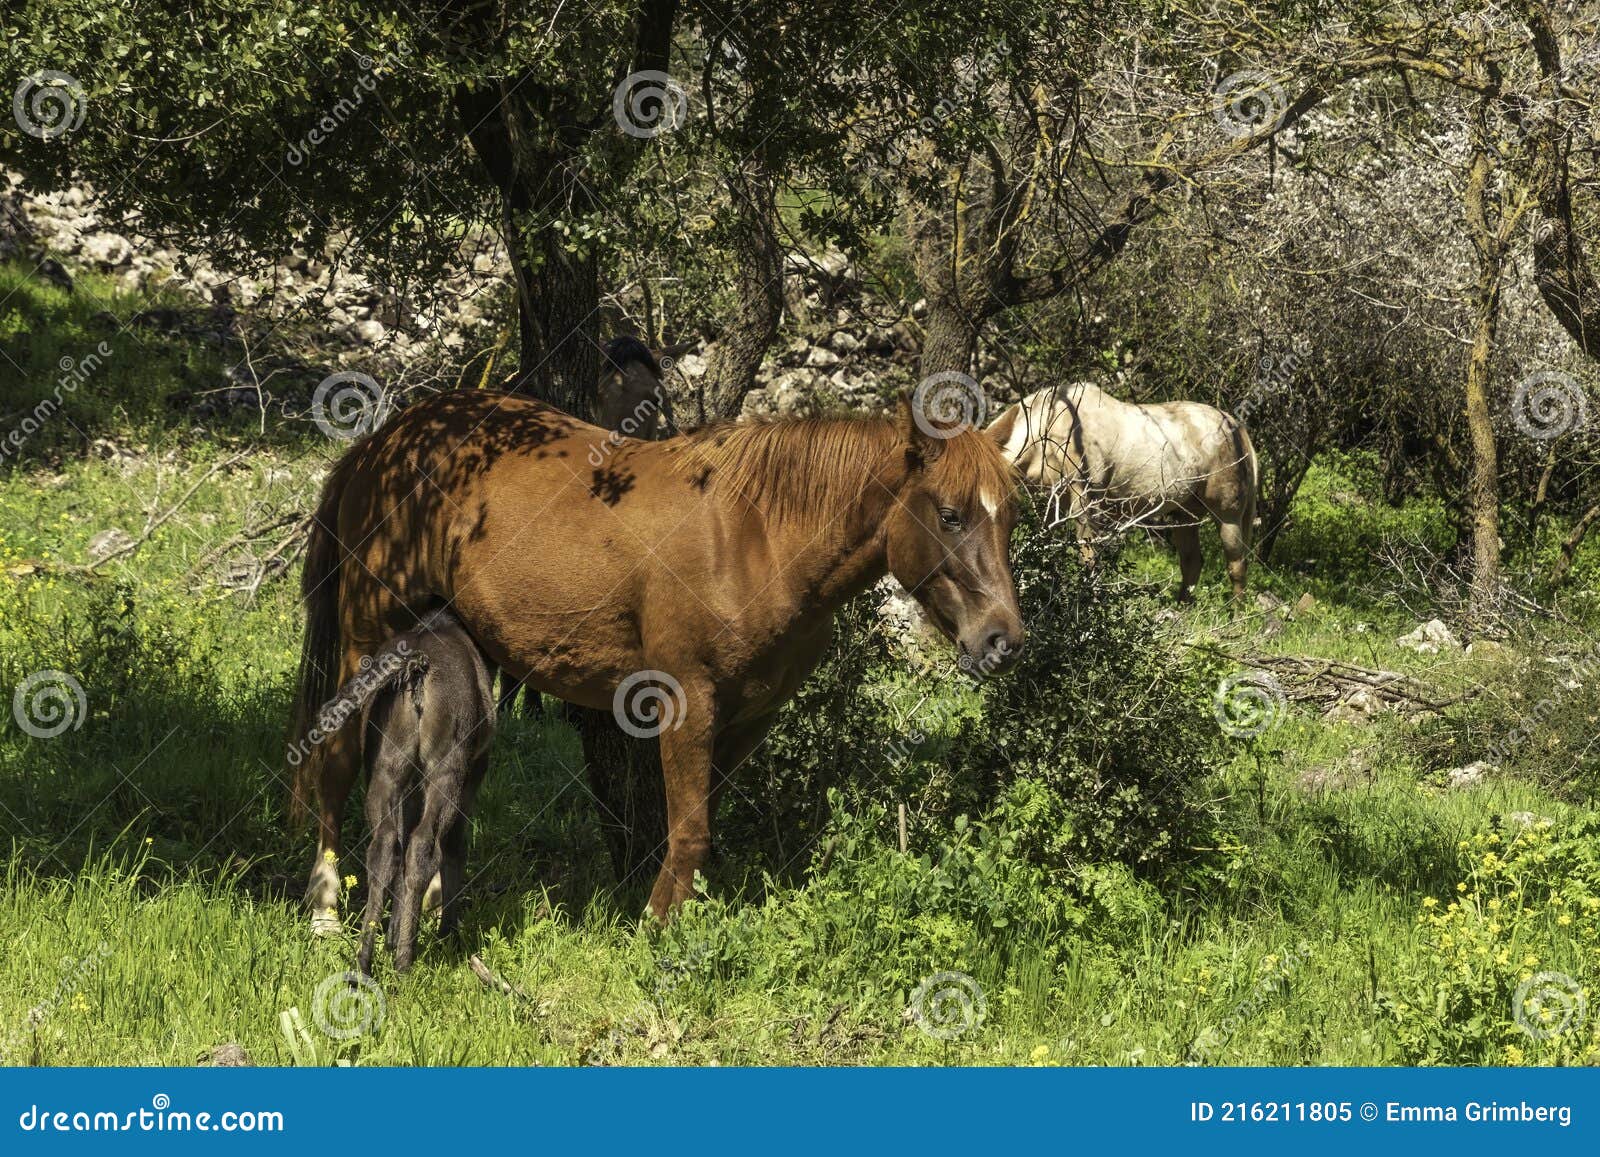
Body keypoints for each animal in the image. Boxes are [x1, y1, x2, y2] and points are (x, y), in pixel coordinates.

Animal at [290, 390, 1023, 923]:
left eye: (1009, 516)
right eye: (951, 514)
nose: (1003, 639)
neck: (754, 534)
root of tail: (385, 441)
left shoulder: (746, 719)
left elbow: (700, 827)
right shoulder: (685, 699)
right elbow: (689, 829)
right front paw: (658, 929)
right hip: (368, 640)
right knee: (336, 758)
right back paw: (325, 908)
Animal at [348, 607, 495, 976]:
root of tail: (415, 667)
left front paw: (392, 933)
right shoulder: (475, 769)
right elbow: (456, 844)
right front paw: (448, 932)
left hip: (385, 764)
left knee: (385, 846)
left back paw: (365, 960)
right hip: (448, 767)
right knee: (423, 845)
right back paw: (405, 961)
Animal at [988, 382, 1257, 600]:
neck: (1048, 429)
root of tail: (1236, 426)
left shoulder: (1084, 504)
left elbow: (1088, 558)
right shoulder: (1048, 505)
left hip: (1228, 514)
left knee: (1236, 564)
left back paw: (1237, 614)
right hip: (1184, 515)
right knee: (1192, 562)